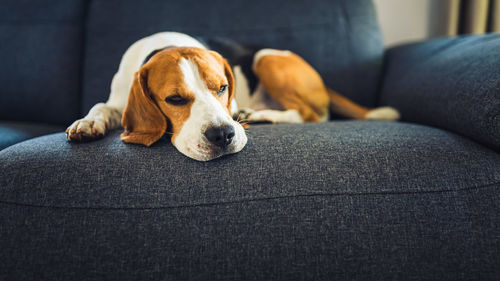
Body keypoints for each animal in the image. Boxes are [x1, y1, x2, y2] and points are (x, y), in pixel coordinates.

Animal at [66, 30, 400, 161]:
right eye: (175, 100)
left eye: (223, 87)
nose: (222, 135)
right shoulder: (118, 98)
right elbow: (101, 106)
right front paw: (87, 123)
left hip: (265, 58)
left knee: (312, 115)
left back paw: (261, 115)